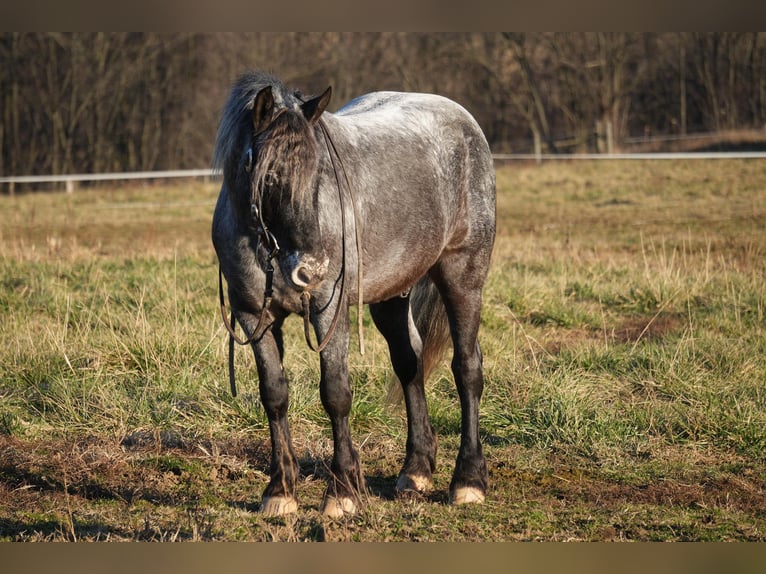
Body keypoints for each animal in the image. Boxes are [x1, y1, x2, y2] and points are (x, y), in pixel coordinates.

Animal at [212, 71, 496, 517]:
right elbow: (273, 394)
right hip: (391, 296)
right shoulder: (253, 316)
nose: (312, 269)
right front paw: (280, 490)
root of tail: (463, 121)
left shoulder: (329, 312)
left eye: (319, 174)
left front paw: (342, 491)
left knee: (467, 369)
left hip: (463, 278)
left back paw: (467, 480)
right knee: (409, 364)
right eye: (269, 176)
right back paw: (415, 471)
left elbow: (336, 394)